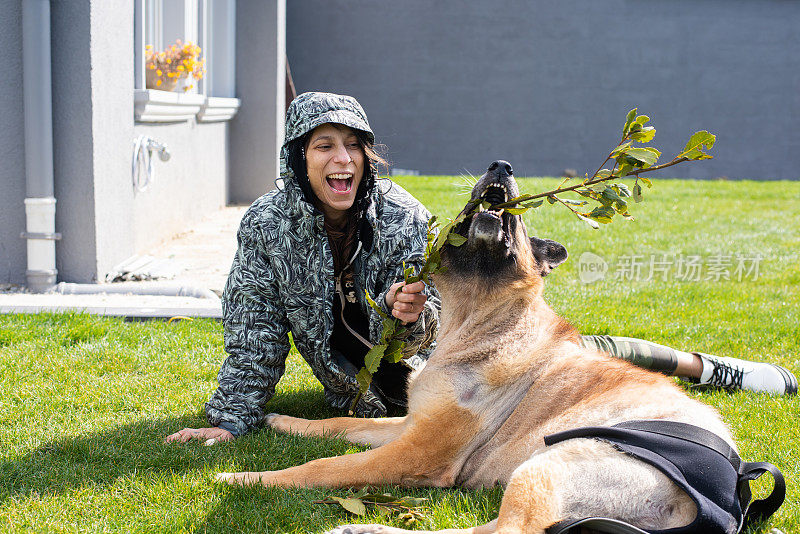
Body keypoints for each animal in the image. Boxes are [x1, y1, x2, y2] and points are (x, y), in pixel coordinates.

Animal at [216, 161, 736, 532]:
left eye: (521, 222)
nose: (502, 166)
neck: (479, 321)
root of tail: (728, 490)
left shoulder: (417, 454)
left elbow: (325, 466)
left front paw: (247, 478)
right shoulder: (409, 427)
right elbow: (339, 429)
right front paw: (285, 422)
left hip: (550, 467)